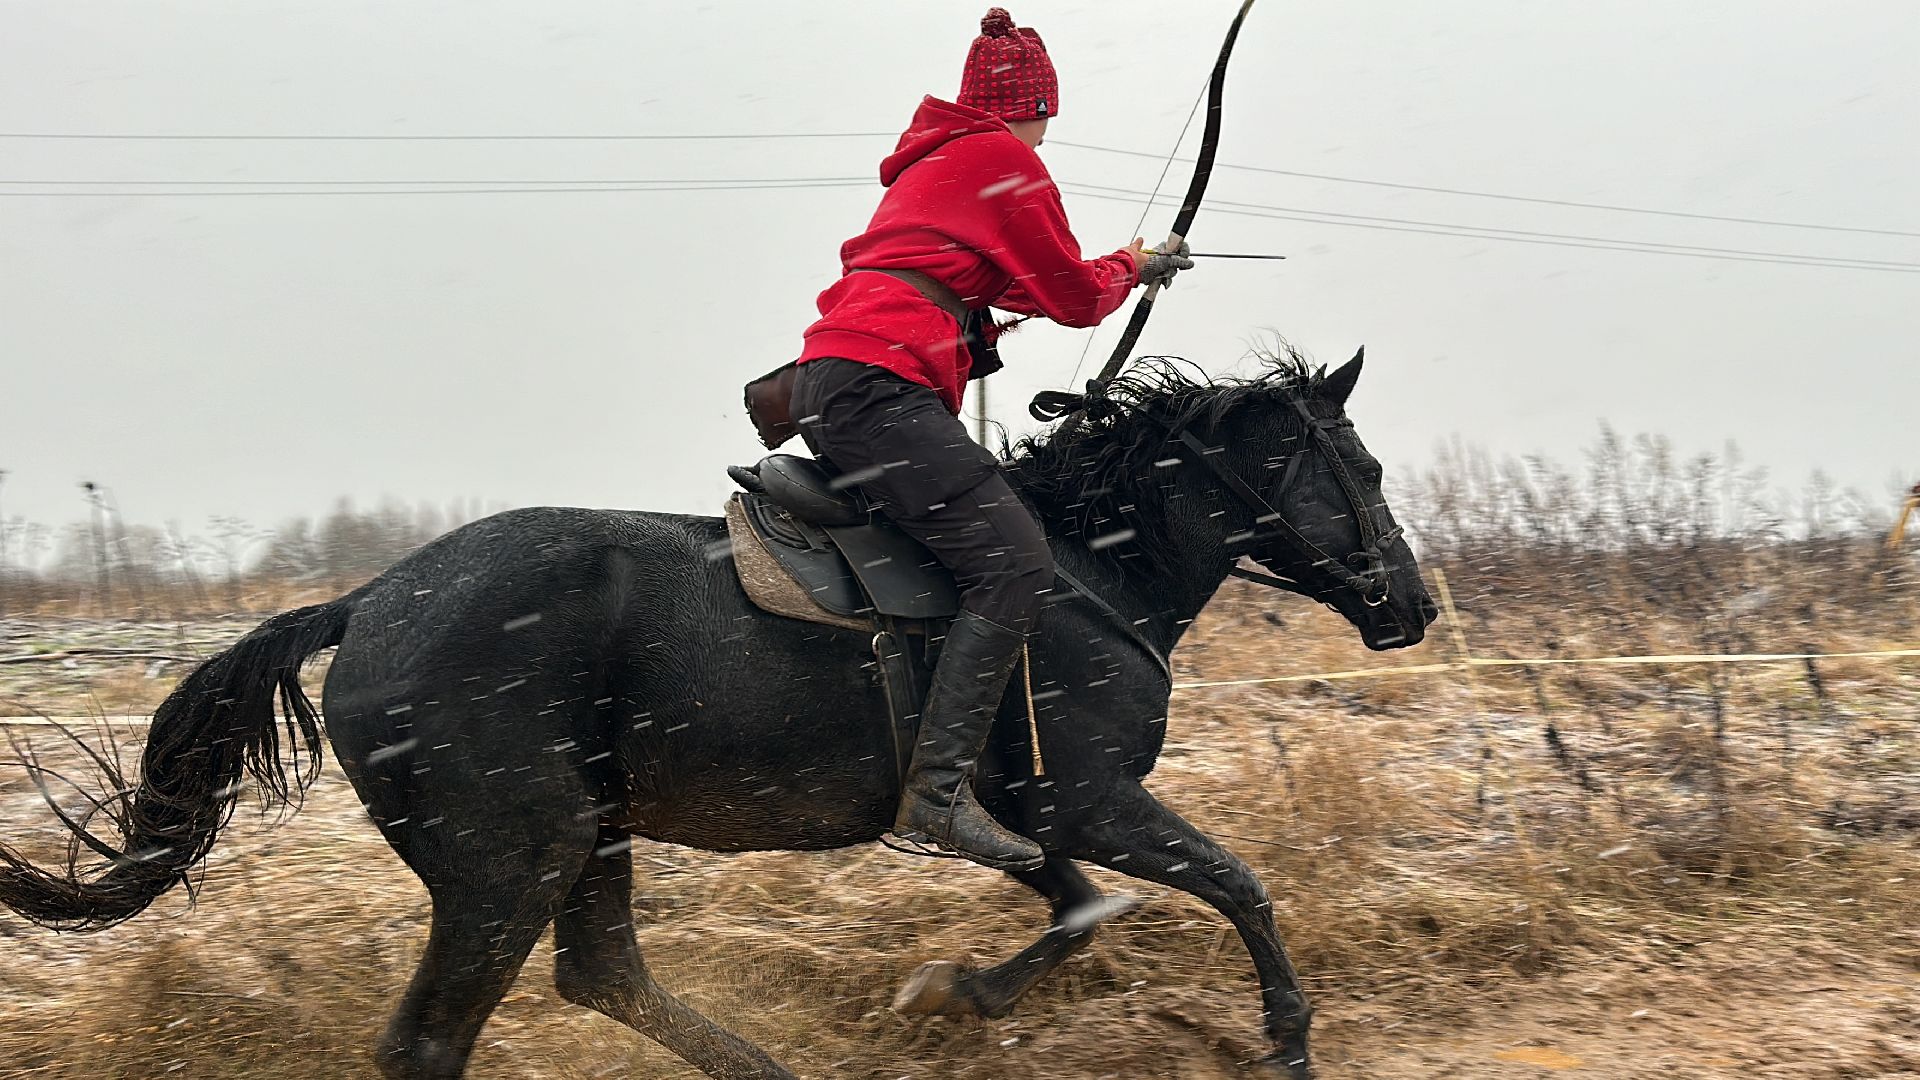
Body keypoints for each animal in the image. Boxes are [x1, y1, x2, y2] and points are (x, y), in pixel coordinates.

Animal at [0, 348, 1435, 1079]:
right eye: (1358, 464)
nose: (1411, 609)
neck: (1096, 562)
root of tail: (364, 604)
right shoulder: (1088, 795)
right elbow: (1229, 883)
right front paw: (1287, 1040)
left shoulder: (1029, 809)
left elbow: (1079, 907)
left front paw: (957, 990)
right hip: (511, 861)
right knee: (432, 1040)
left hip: (589, 839)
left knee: (604, 976)